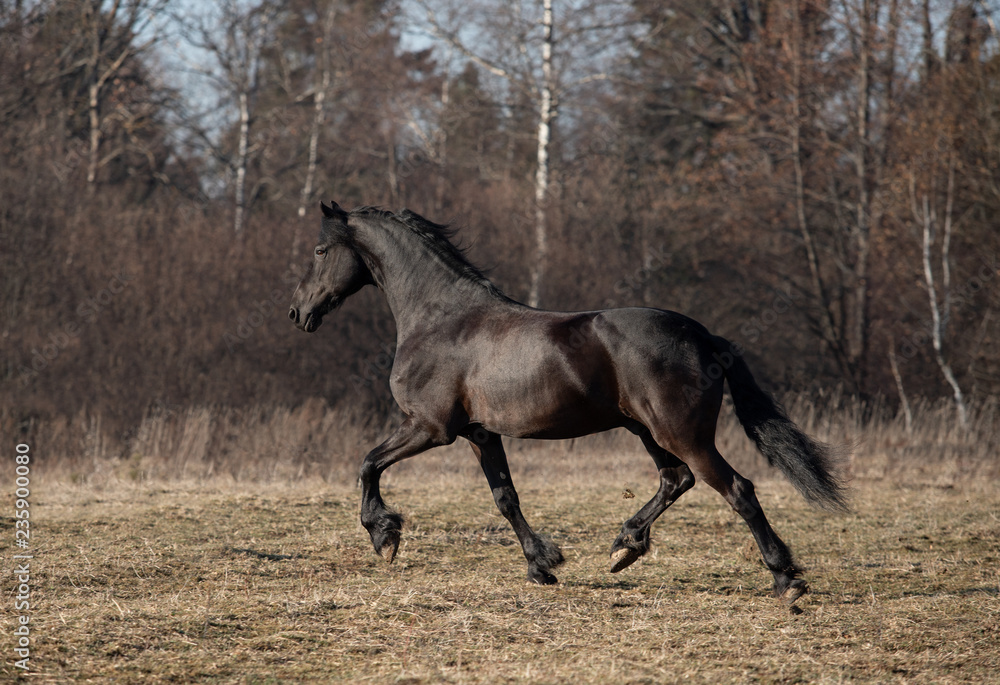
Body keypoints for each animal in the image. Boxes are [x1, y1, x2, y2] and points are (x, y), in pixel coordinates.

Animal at [290, 202, 844, 604]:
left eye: (319, 249)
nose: (297, 313)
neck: (440, 318)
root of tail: (702, 335)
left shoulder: (430, 427)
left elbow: (367, 464)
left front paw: (384, 537)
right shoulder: (478, 433)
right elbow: (505, 497)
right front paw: (542, 565)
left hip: (681, 433)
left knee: (737, 489)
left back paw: (786, 580)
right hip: (646, 430)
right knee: (676, 479)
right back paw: (624, 547)